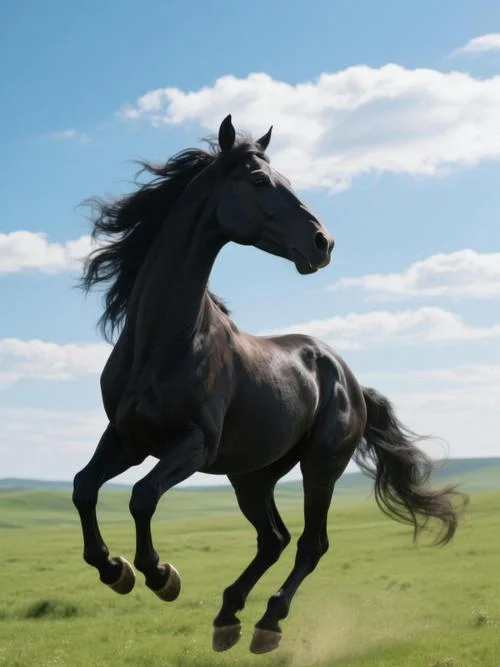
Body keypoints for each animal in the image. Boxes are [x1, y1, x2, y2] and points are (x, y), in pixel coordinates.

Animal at [73, 115, 467, 655]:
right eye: (259, 181)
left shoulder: (193, 444)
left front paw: (160, 575)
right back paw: (227, 617)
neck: (162, 343)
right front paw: (115, 570)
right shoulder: (128, 438)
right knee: (273, 539)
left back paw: (267, 623)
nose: (324, 242)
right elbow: (84, 488)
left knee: (310, 544)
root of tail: (349, 379)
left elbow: (142, 496)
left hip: (320, 466)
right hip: (252, 475)